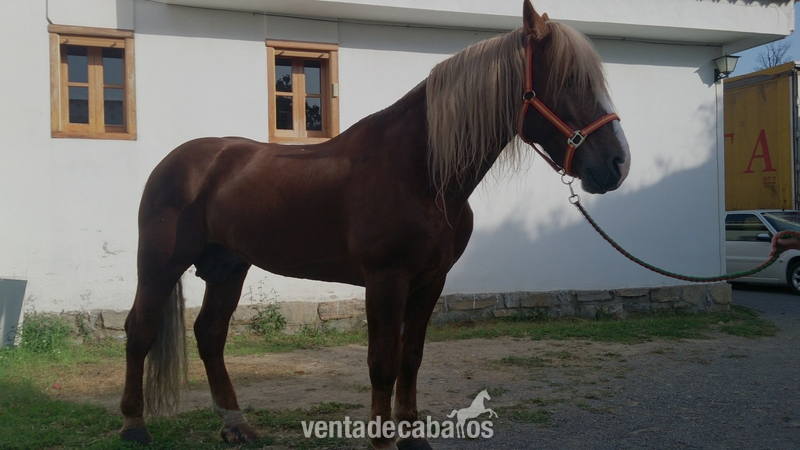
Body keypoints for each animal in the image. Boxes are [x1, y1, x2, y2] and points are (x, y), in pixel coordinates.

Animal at [119, 1, 630, 449]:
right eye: (568, 80)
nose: (617, 164)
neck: (421, 173)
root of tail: (178, 160)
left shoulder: (430, 281)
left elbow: (411, 358)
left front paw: (413, 437)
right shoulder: (386, 279)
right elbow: (382, 362)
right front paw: (383, 441)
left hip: (228, 268)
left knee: (210, 334)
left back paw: (235, 425)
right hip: (160, 264)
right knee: (140, 330)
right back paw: (133, 426)